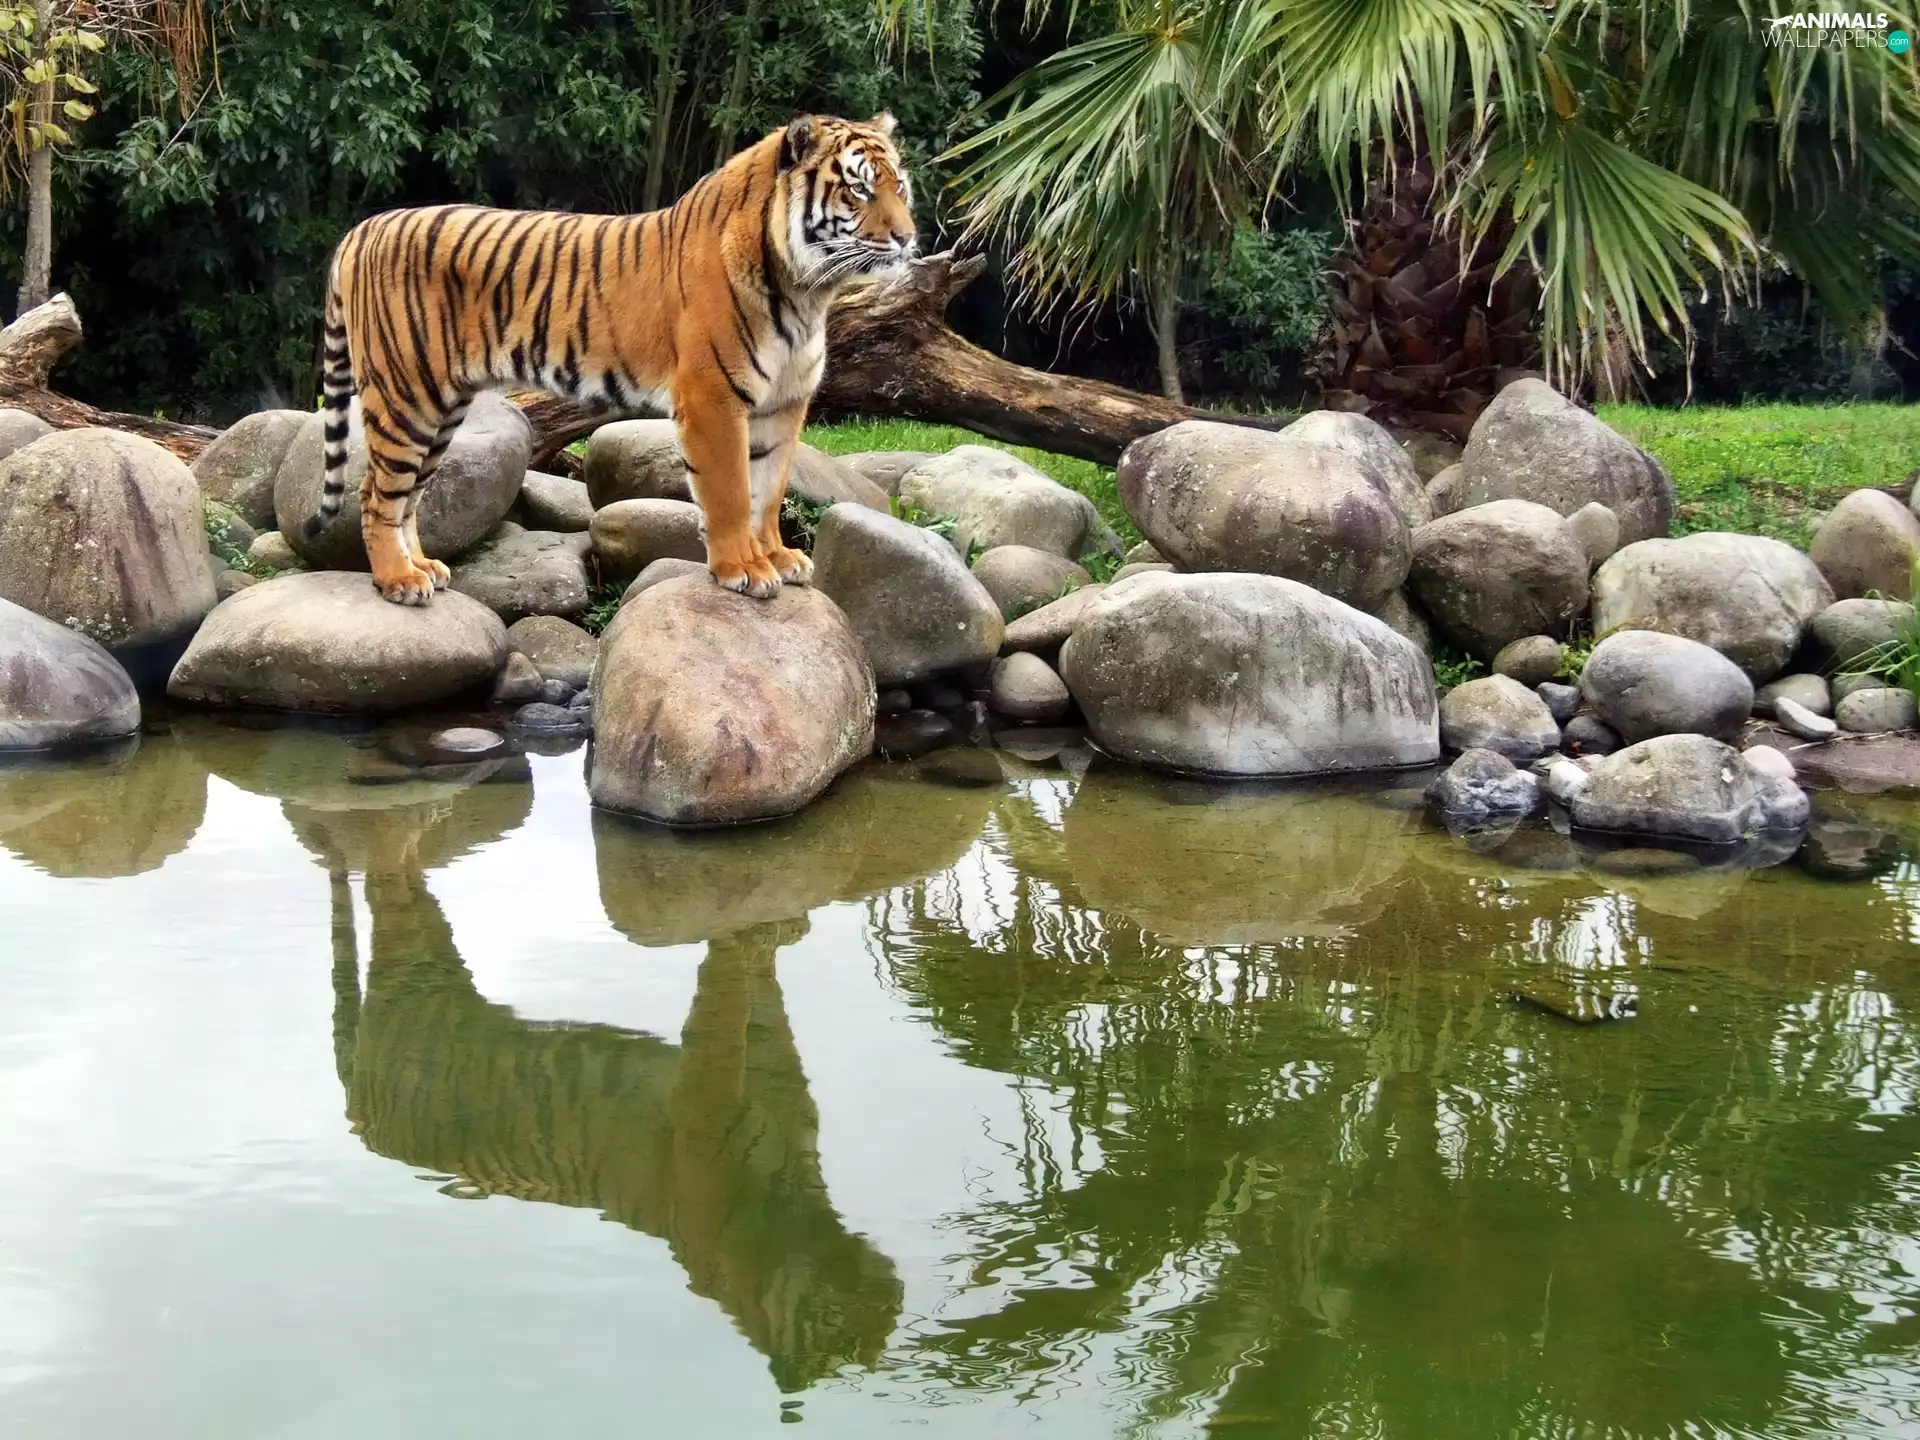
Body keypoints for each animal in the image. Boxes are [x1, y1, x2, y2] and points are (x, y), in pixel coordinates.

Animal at [308, 112, 916, 605]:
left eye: (900, 187)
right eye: (858, 190)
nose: (909, 240)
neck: (805, 292)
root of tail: (365, 227)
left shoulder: (784, 403)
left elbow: (768, 490)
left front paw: (778, 558)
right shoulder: (713, 397)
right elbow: (730, 492)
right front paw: (741, 569)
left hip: (443, 407)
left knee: (408, 495)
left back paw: (423, 568)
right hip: (406, 396)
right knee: (375, 494)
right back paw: (397, 580)